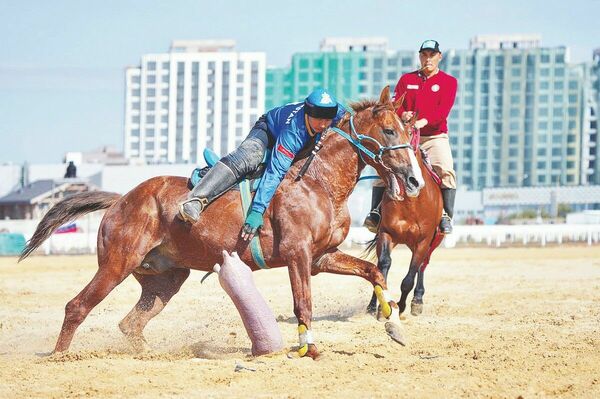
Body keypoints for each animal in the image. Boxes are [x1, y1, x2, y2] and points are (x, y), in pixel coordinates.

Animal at [19, 86, 422, 360]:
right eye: (389, 131)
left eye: (408, 132)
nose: (415, 180)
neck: (318, 181)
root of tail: (120, 200)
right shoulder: (299, 255)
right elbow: (303, 303)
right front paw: (308, 348)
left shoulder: (322, 257)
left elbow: (373, 271)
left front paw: (394, 324)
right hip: (117, 263)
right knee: (77, 307)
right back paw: (60, 357)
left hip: (165, 278)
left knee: (131, 323)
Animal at [366, 127, 446, 318]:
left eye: (410, 134)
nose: (412, 180)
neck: (411, 202)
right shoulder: (386, 233)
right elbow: (382, 266)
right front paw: (380, 307)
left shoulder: (423, 241)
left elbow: (409, 278)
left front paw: (401, 306)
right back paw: (373, 305)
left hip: (431, 242)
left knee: (422, 266)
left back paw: (417, 300)